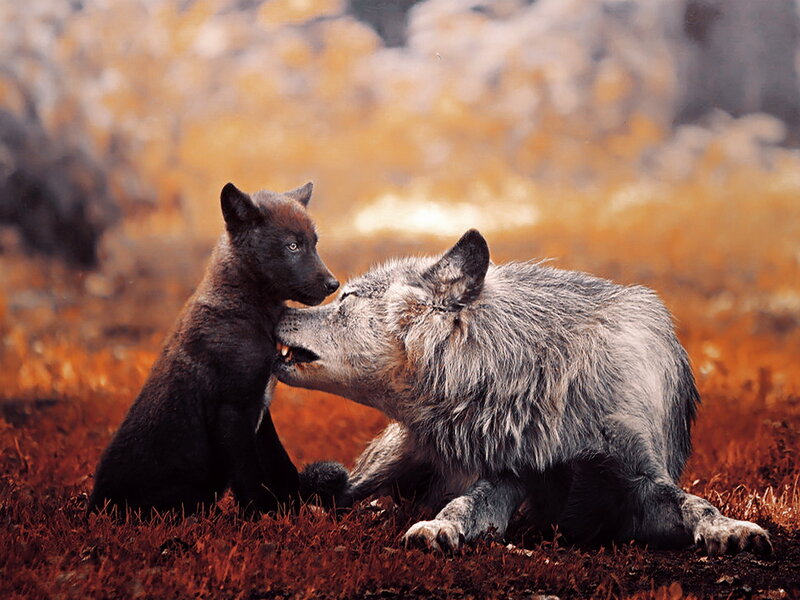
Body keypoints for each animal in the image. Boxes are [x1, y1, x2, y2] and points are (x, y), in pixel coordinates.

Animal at [89, 182, 345, 517]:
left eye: (314, 243)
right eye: (292, 246)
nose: (334, 284)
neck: (246, 313)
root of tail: (94, 506)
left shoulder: (261, 408)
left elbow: (281, 468)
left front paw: (292, 513)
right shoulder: (233, 412)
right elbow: (250, 479)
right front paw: (262, 519)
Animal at [274, 229, 772, 555]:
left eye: (346, 298)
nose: (275, 307)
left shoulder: (641, 484)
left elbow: (698, 503)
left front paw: (732, 529)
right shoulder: (507, 475)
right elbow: (462, 504)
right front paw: (436, 527)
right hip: (384, 463)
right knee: (341, 492)